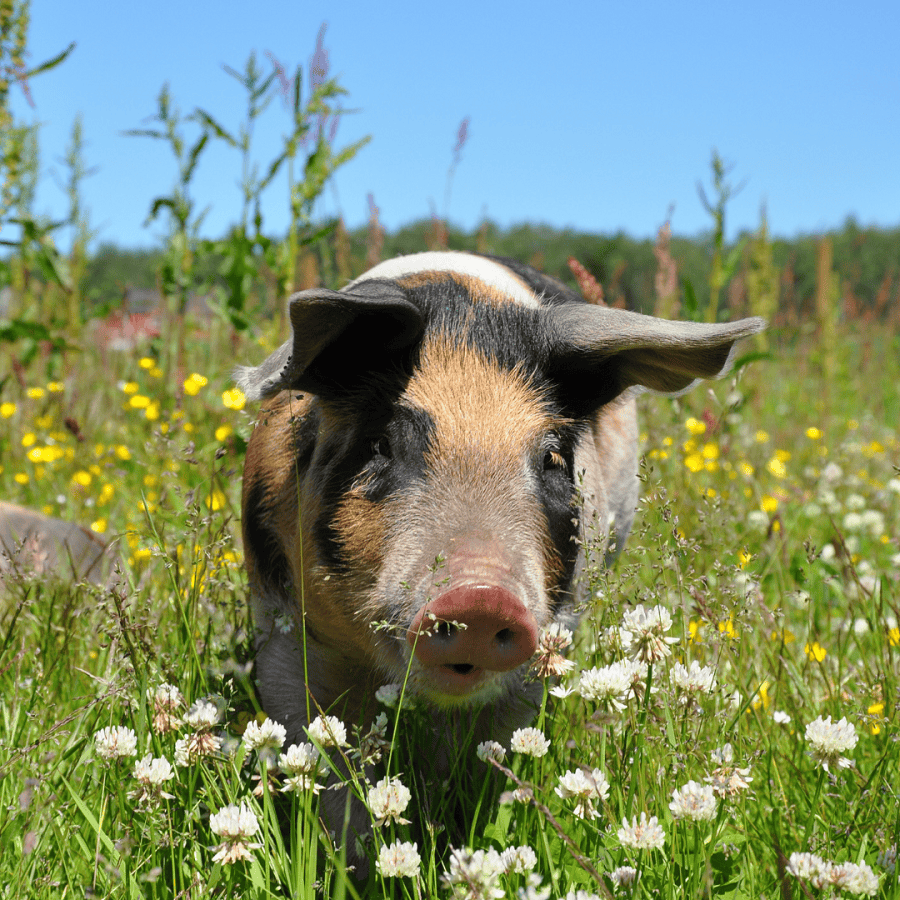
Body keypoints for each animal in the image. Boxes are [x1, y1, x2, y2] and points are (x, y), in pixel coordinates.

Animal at [236, 250, 764, 840]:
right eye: (380, 445)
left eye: (553, 458)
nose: (482, 597)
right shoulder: (280, 626)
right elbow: (326, 769)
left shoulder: (544, 646)